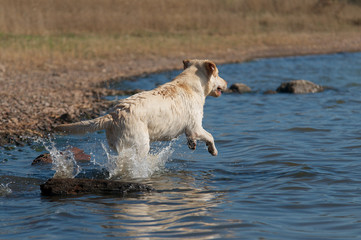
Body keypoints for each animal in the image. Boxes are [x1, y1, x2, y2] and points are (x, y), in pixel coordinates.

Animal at [55, 59, 225, 158]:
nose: (226, 83)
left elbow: (192, 138)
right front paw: (213, 150)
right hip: (140, 145)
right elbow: (210, 136)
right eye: (218, 74)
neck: (190, 83)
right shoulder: (196, 127)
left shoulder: (190, 130)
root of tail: (114, 114)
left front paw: (193, 144)